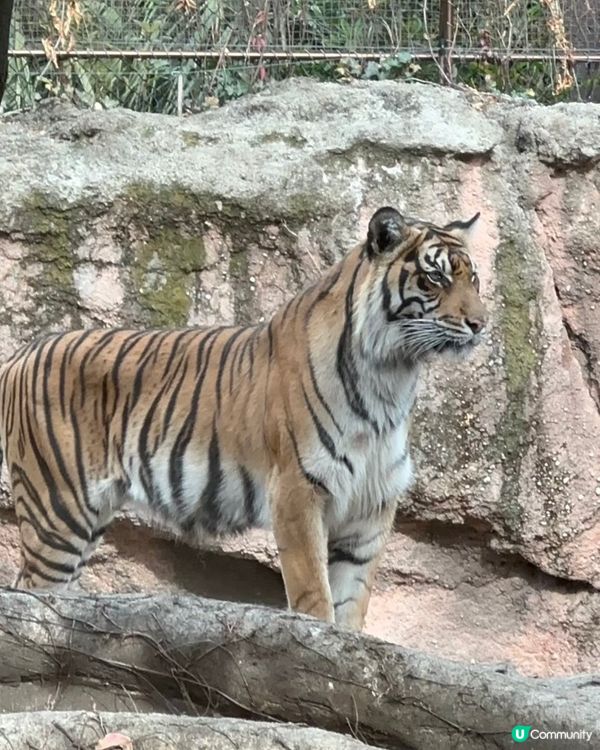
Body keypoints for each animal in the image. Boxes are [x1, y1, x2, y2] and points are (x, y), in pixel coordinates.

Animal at [0, 204, 488, 628]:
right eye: (435, 277)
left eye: (474, 279)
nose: (481, 324)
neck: (393, 376)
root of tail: (20, 354)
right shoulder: (297, 491)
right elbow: (315, 597)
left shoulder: (371, 507)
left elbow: (351, 607)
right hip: (57, 510)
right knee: (29, 596)